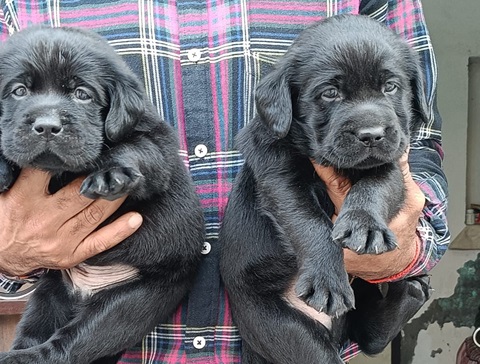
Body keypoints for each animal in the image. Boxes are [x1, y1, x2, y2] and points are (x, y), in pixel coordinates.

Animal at [0, 26, 204, 364]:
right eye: (18, 91)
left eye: (83, 94)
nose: (47, 126)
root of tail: (85, 291)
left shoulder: (157, 143)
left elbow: (134, 148)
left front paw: (109, 173)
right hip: (48, 293)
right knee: (34, 329)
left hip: (128, 304)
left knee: (69, 345)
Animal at [221, 14, 432, 364]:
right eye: (330, 93)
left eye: (390, 87)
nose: (372, 134)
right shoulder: (277, 171)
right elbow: (306, 219)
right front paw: (326, 281)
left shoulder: (393, 162)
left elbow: (377, 185)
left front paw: (364, 225)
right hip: (276, 324)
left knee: (370, 336)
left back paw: (410, 290)